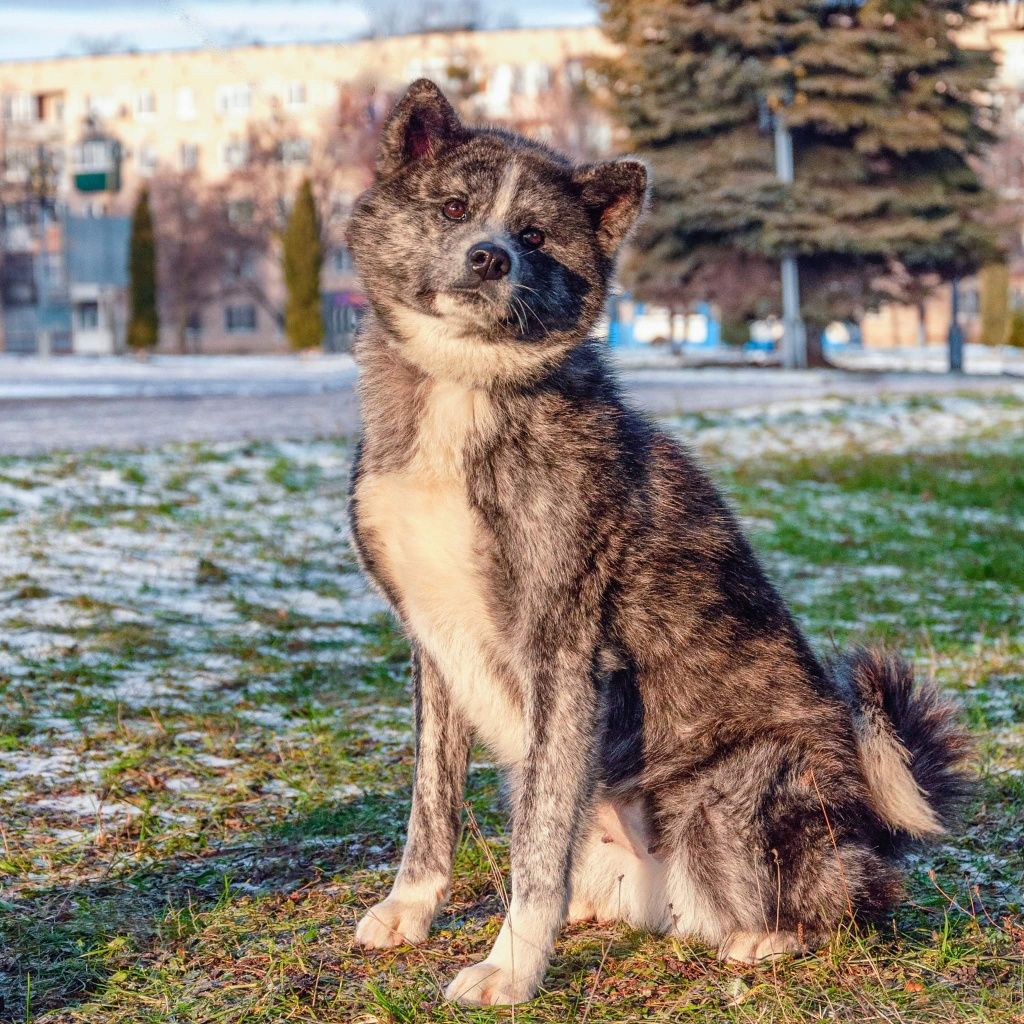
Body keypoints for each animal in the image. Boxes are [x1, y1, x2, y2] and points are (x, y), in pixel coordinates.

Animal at [346, 79, 966, 1007]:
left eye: (535, 236)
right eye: (454, 208)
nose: (490, 258)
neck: (469, 387)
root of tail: (869, 823)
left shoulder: (563, 654)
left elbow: (535, 852)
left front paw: (510, 968)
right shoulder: (433, 647)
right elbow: (433, 806)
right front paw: (412, 909)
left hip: (726, 806)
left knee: (854, 903)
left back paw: (762, 940)